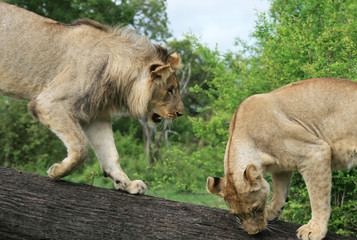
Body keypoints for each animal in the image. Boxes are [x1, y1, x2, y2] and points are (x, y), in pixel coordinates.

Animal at [0, 1, 184, 195]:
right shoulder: (50, 102)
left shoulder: (95, 115)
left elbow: (110, 152)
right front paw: (56, 171)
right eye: (170, 90)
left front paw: (126, 183)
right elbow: (81, 146)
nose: (181, 113)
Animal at [206, 78, 356, 239]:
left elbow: (318, 198)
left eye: (255, 209)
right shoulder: (281, 167)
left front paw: (315, 230)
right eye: (236, 214)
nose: (254, 232)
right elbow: (279, 192)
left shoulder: (315, 152)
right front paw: (272, 212)